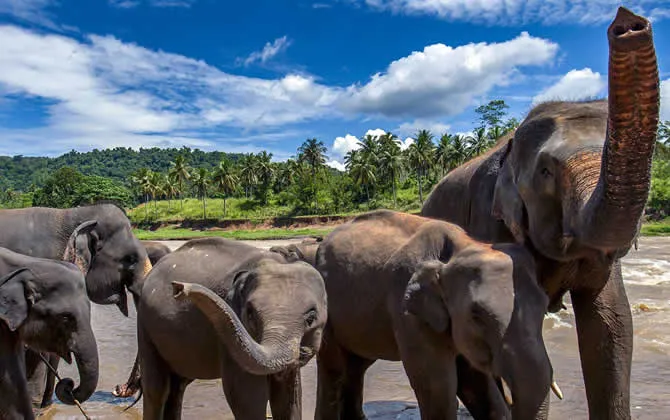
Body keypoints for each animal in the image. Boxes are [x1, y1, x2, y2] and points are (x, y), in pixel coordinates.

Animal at [137, 237, 327, 419]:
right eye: (250, 314)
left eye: (311, 318)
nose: (179, 288)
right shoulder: (230, 334)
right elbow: (247, 395)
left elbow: (289, 396)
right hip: (145, 325)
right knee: (156, 389)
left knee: (178, 386)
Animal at [314, 210, 559, 420]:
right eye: (477, 315)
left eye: (544, 306)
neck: (463, 246)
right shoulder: (407, 310)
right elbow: (438, 387)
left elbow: (474, 381)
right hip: (328, 312)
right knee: (334, 368)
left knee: (357, 365)